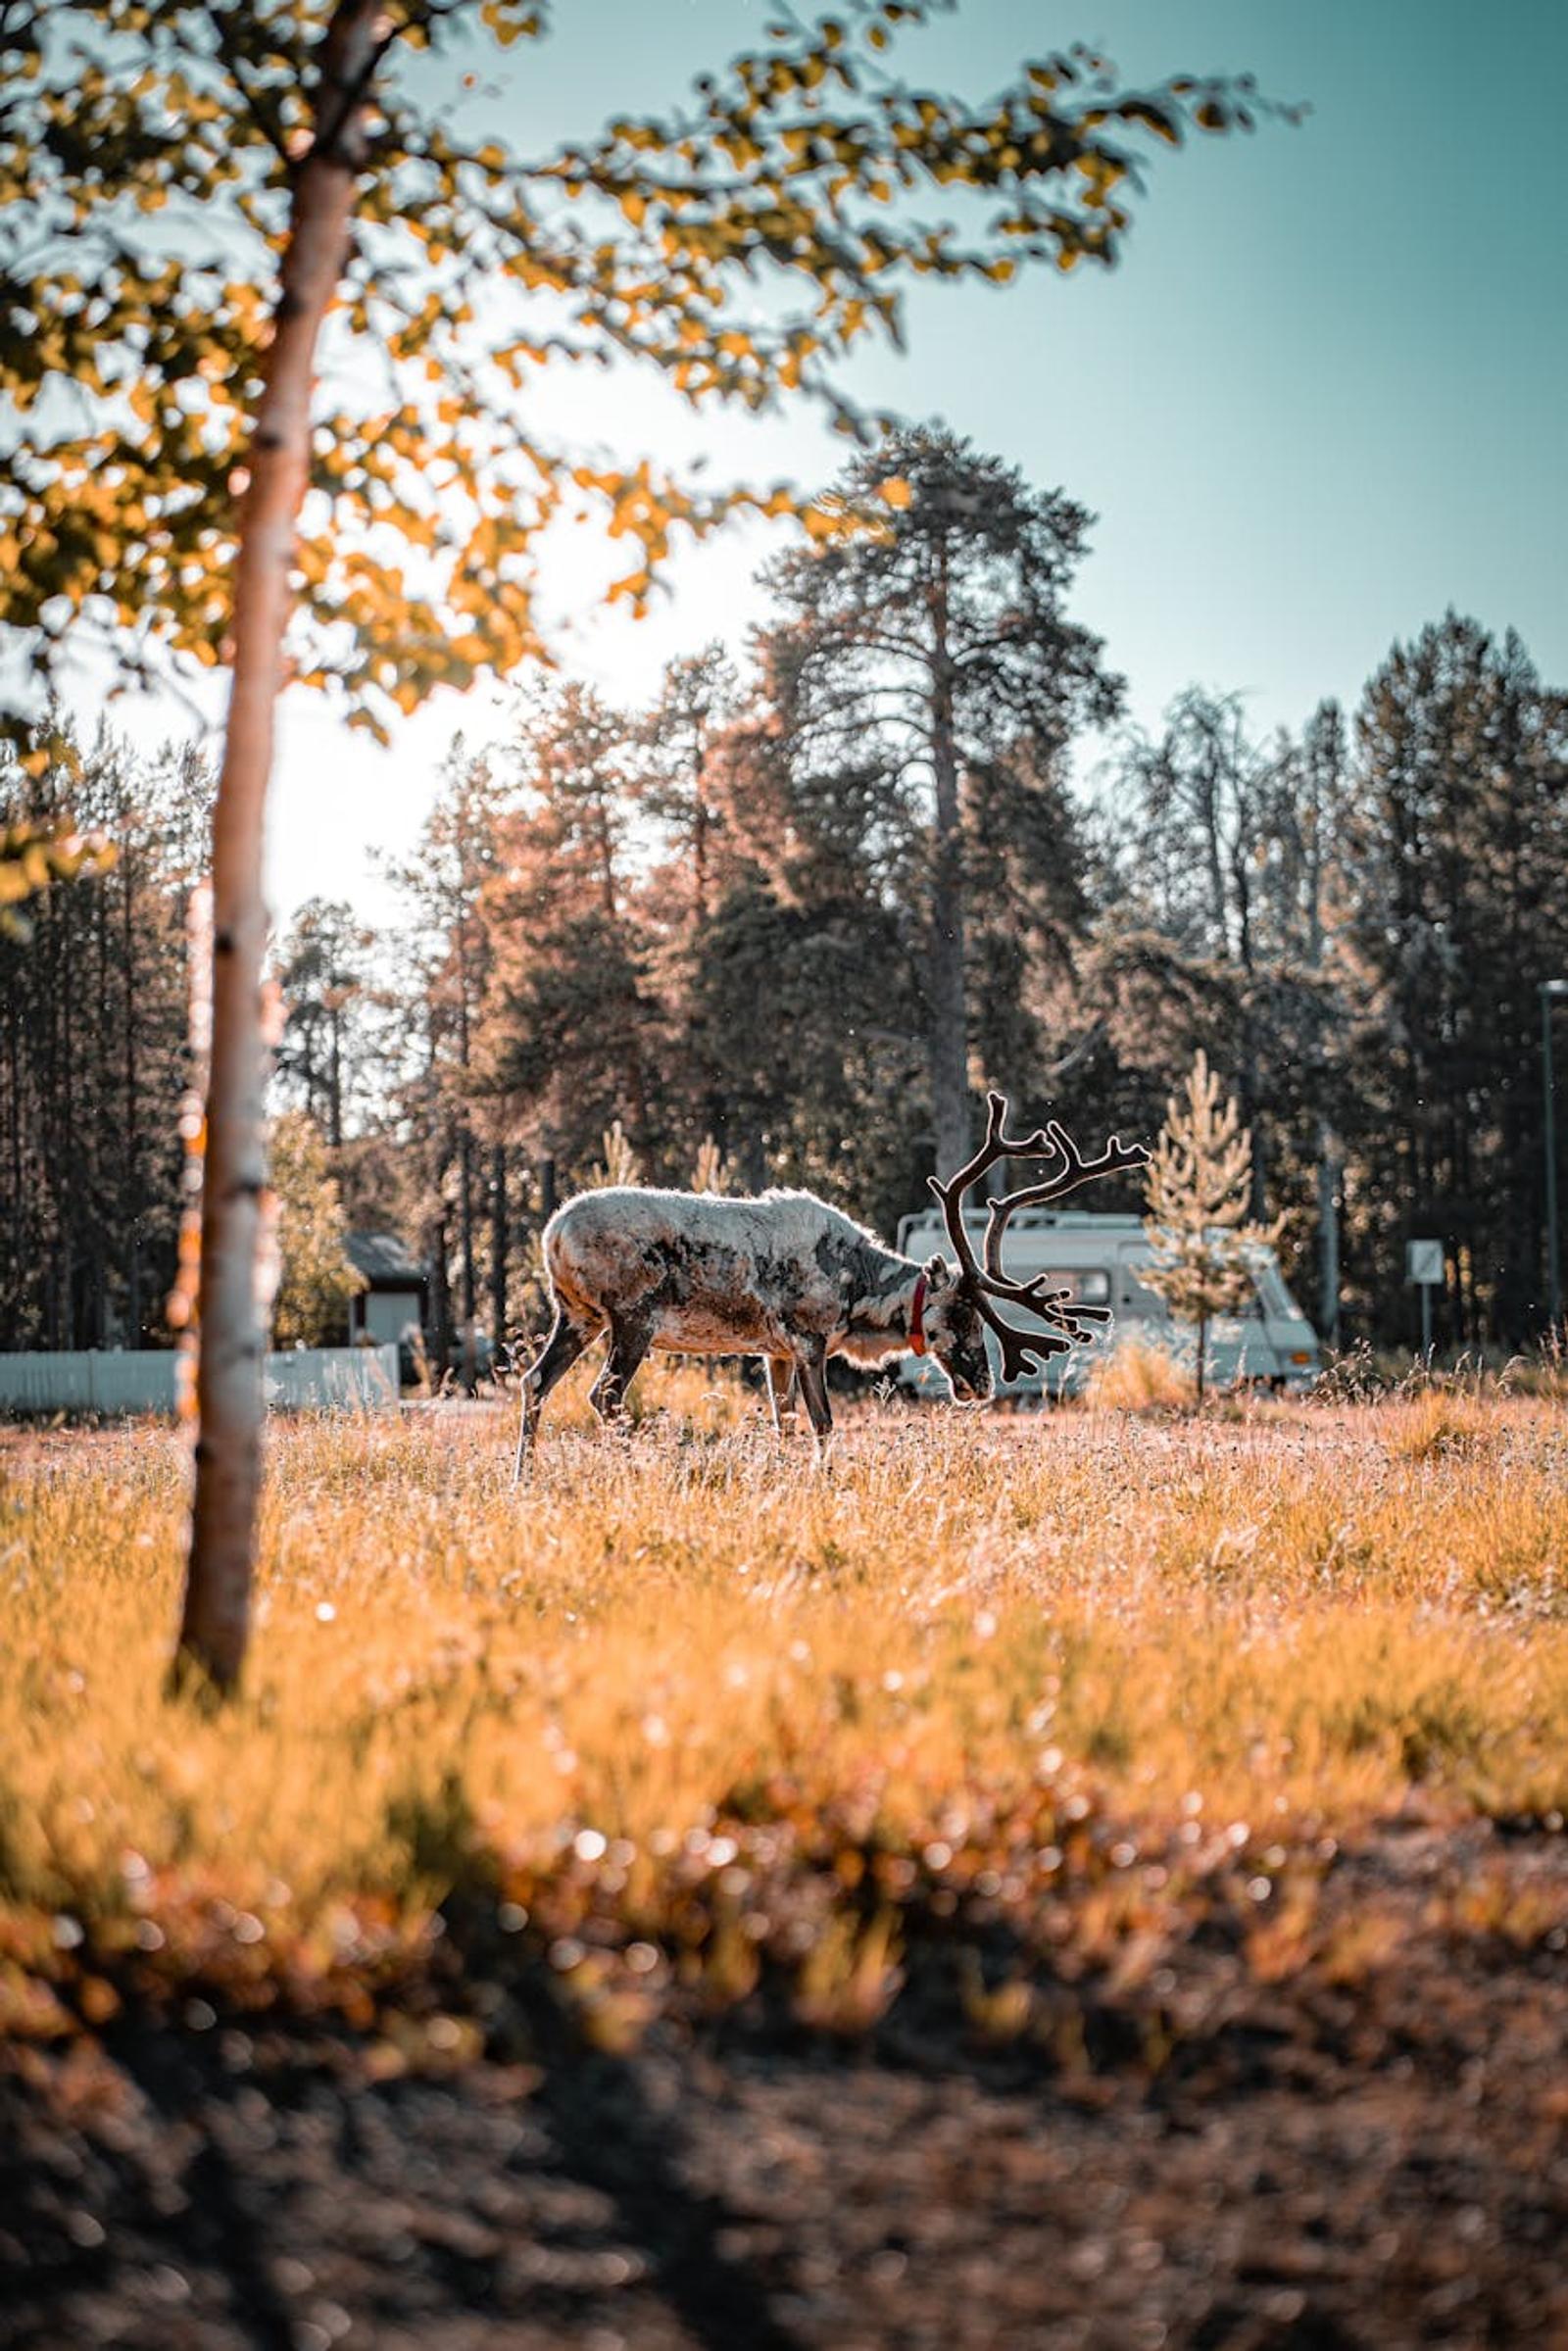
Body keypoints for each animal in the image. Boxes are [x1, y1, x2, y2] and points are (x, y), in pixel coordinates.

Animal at [512, 1092, 1148, 1473]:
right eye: (961, 1314)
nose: (982, 1384)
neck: (858, 1292)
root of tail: (552, 1234)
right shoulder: (808, 1338)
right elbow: (823, 1423)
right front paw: (825, 1478)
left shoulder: (772, 1351)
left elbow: (785, 1422)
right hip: (632, 1317)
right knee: (605, 1394)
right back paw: (637, 1466)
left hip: (576, 1316)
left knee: (535, 1380)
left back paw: (525, 1476)